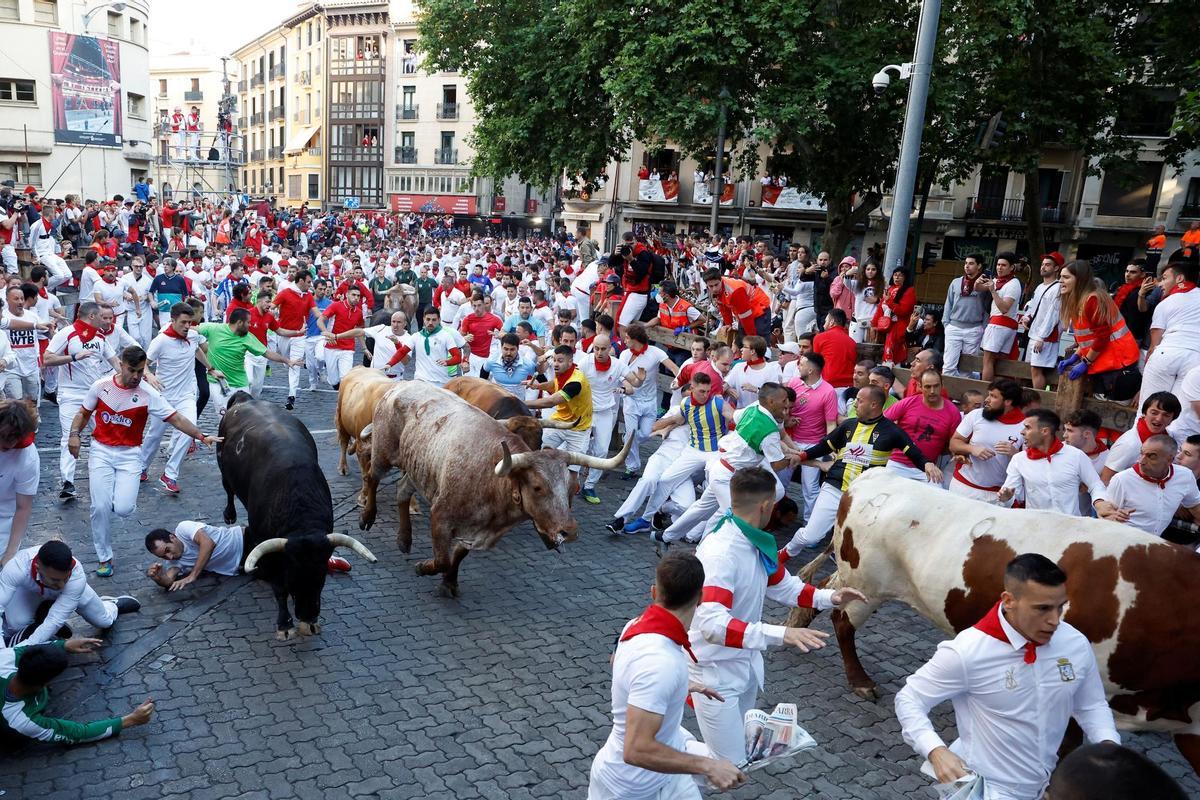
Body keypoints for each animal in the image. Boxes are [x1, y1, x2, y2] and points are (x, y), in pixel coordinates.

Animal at [355, 381, 633, 594]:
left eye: (569, 488)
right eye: (537, 487)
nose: (570, 531)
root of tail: (401, 385)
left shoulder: (474, 533)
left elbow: (457, 557)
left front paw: (449, 583)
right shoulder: (440, 517)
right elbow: (442, 560)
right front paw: (424, 568)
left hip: (419, 466)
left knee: (402, 490)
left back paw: (404, 539)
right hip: (384, 451)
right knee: (372, 477)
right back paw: (367, 516)